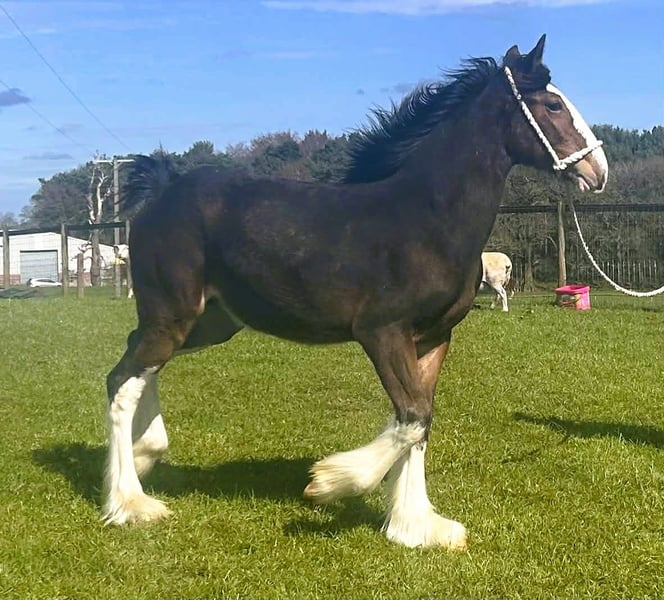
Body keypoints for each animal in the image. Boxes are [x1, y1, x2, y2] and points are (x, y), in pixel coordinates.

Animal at [103, 35, 608, 549]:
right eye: (552, 104)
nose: (598, 169)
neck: (425, 219)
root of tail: (162, 192)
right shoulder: (381, 331)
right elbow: (412, 415)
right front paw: (330, 481)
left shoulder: (432, 337)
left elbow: (421, 418)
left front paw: (416, 525)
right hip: (174, 314)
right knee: (123, 381)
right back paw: (131, 502)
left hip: (209, 322)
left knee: (137, 363)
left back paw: (147, 454)